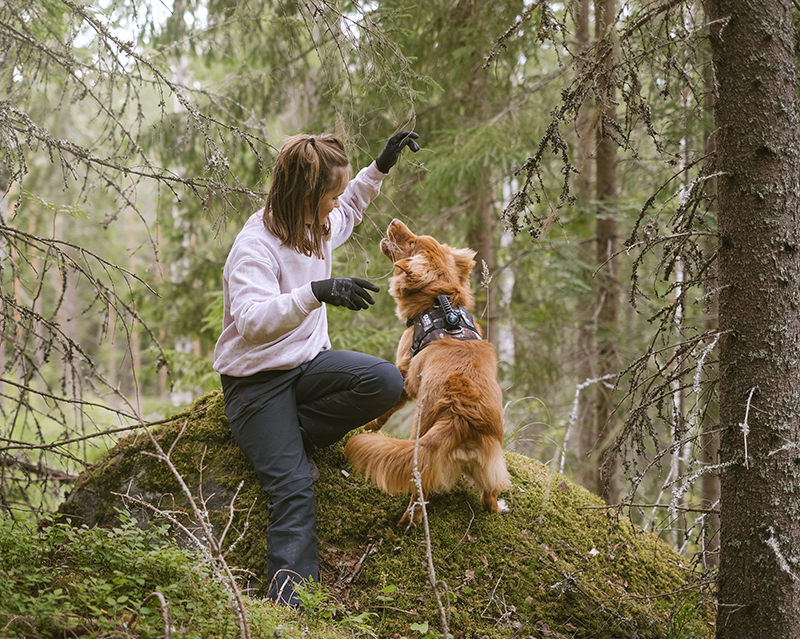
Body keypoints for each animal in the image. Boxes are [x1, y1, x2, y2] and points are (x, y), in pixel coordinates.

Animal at [342, 220, 506, 528]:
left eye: (411, 243)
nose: (394, 222)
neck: (440, 304)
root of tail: (461, 415)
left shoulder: (405, 375)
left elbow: (386, 411)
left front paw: (368, 426)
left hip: (421, 439)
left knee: (419, 494)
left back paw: (407, 521)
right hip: (492, 463)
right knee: (490, 495)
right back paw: (496, 509)